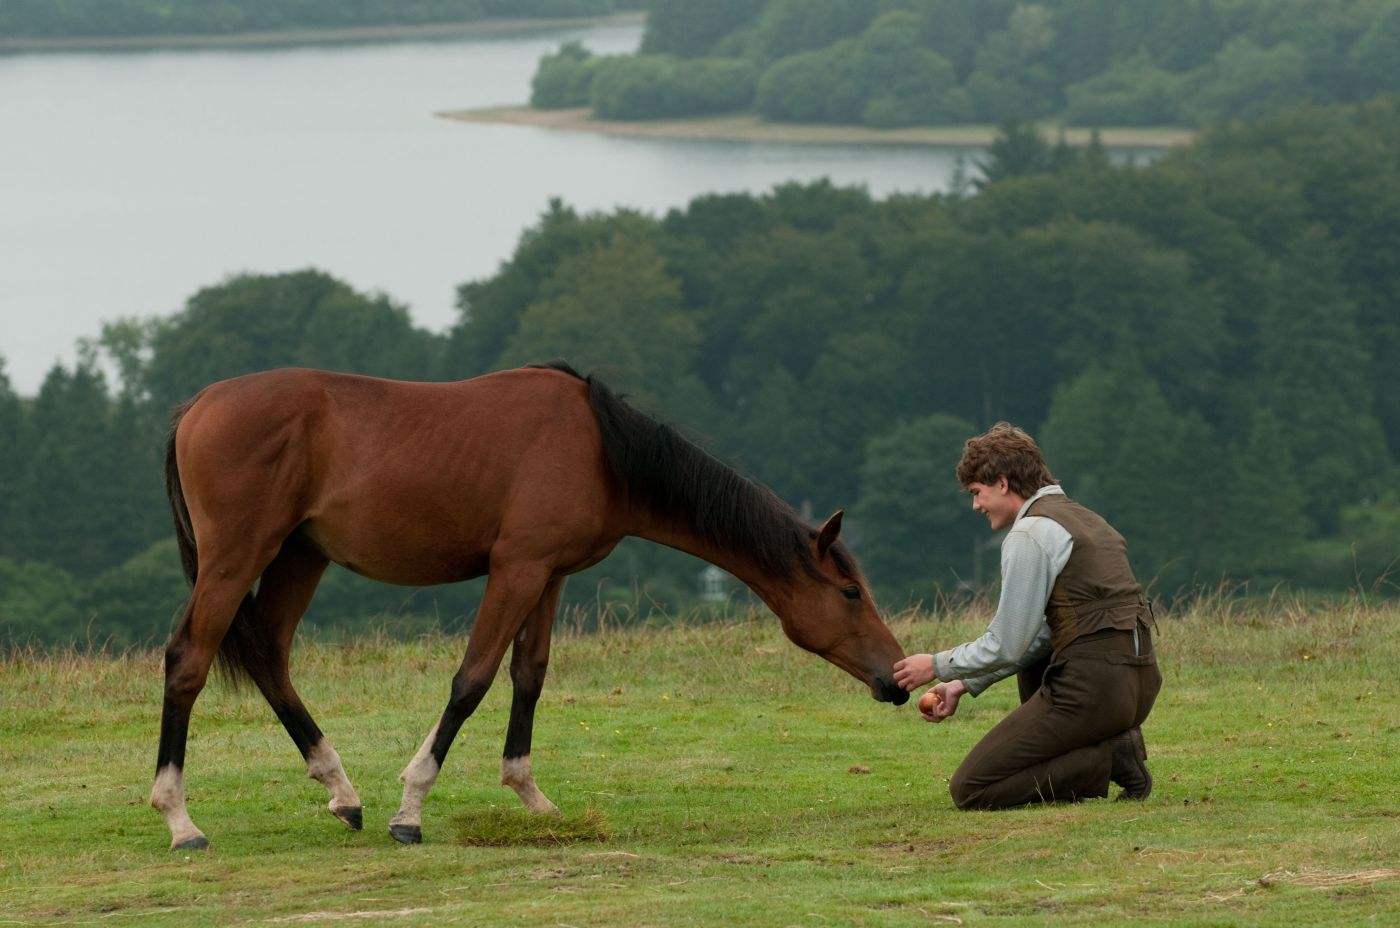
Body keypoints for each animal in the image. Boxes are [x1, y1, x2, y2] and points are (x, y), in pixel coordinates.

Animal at [153, 361, 912, 851]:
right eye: (850, 593)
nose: (897, 678)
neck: (599, 449)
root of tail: (195, 407)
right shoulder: (515, 570)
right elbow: (472, 680)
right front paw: (412, 807)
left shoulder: (549, 576)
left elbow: (529, 676)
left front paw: (530, 795)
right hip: (237, 557)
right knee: (188, 661)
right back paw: (179, 817)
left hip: (298, 557)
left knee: (271, 659)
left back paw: (341, 790)